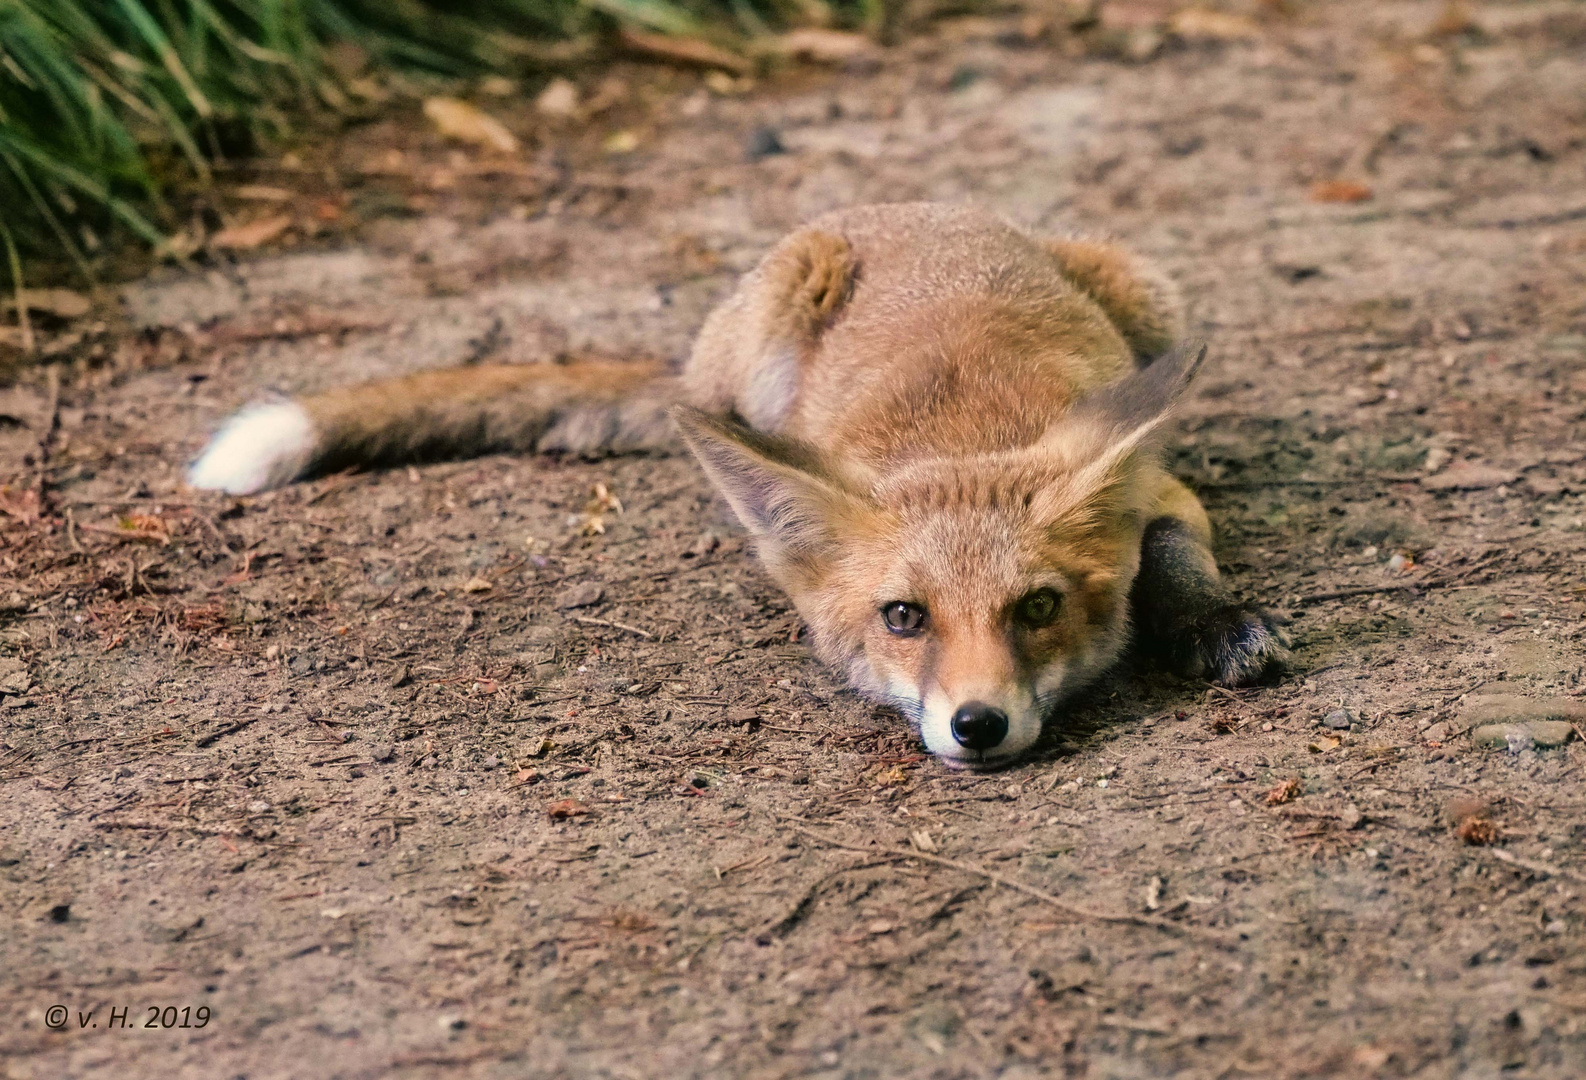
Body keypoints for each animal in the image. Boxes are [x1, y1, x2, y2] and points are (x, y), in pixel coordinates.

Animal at [188, 204, 1287, 767]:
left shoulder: (1161, 490)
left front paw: (1214, 622)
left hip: (1148, 291)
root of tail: (903, 206)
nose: (976, 726)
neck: (962, 432)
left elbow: (1173, 551)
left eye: (1039, 608)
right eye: (903, 617)